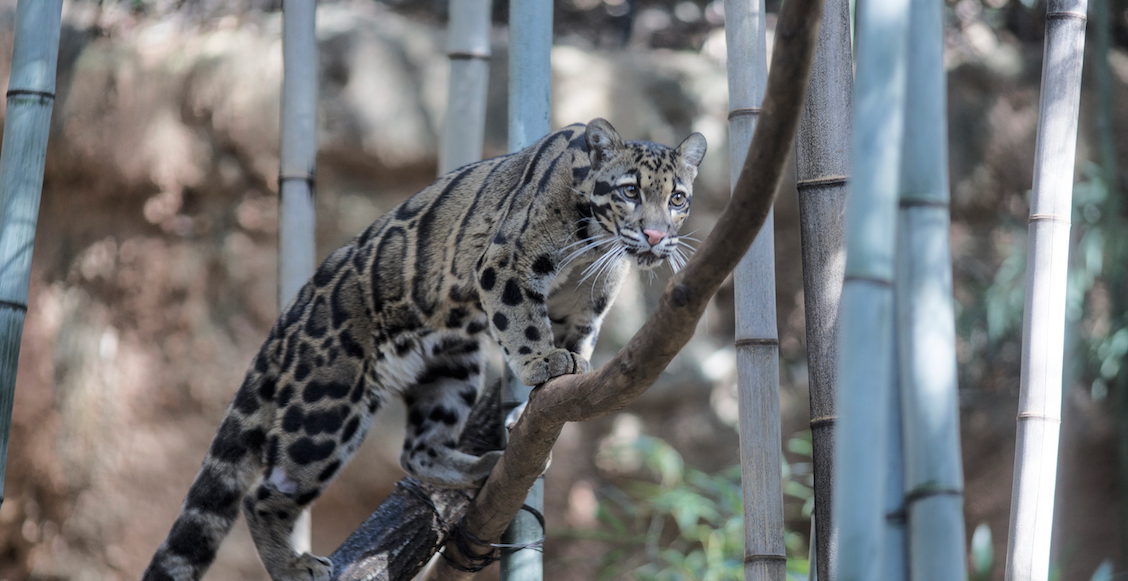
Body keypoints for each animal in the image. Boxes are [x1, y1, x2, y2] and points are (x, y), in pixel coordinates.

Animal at [141, 119, 703, 581]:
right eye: (629, 191)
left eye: (678, 199)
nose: (656, 235)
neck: (594, 246)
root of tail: (289, 316)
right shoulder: (506, 263)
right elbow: (523, 325)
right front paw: (541, 361)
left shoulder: (582, 307)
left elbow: (567, 348)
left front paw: (530, 403)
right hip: (324, 408)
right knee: (265, 492)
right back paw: (293, 567)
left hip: (452, 364)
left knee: (415, 449)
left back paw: (478, 466)